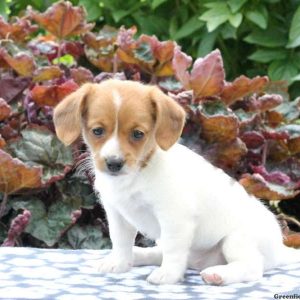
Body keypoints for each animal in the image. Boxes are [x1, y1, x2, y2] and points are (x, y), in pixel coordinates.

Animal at [54, 79, 300, 286]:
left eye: (137, 134)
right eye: (97, 131)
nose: (114, 163)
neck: (139, 173)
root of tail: (280, 248)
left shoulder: (174, 218)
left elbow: (173, 251)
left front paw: (168, 275)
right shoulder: (117, 215)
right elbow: (121, 242)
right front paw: (120, 263)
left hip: (237, 240)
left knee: (252, 267)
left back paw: (218, 274)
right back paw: (139, 254)